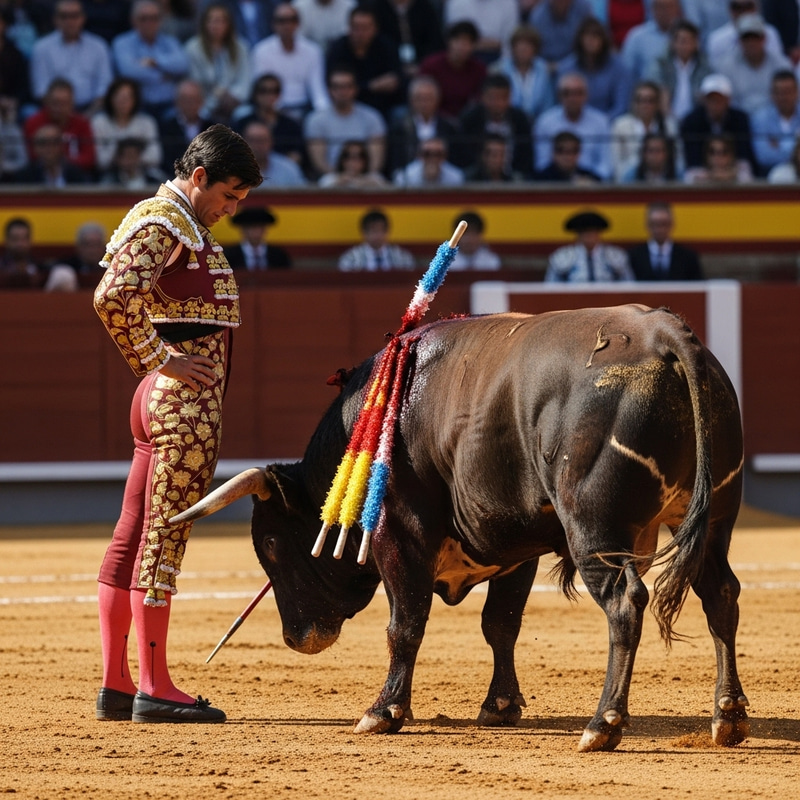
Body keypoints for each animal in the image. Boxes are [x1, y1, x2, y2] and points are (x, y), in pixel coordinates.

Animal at [174, 305, 748, 752]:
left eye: (271, 543)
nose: (296, 638)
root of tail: (663, 333)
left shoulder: (400, 533)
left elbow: (405, 624)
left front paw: (383, 712)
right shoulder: (518, 542)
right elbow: (501, 623)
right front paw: (500, 706)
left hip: (595, 528)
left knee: (625, 603)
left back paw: (603, 725)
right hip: (716, 519)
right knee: (720, 593)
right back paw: (728, 717)